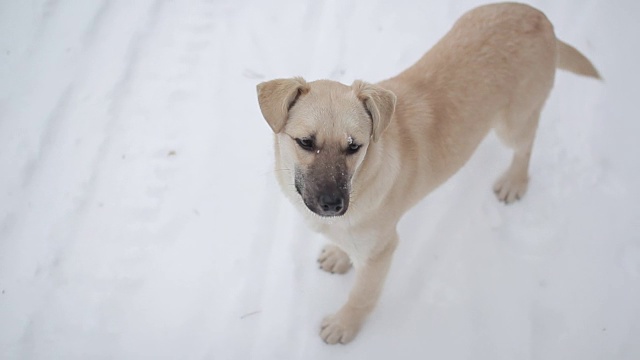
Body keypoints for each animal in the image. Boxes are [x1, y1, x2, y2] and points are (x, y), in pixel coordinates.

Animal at [255, 2, 600, 346]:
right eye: (305, 142)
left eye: (354, 146)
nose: (332, 204)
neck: (365, 177)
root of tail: (538, 16)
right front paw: (340, 256)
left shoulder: (382, 251)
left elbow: (362, 295)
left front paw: (344, 325)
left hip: (512, 124)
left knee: (526, 146)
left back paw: (514, 182)